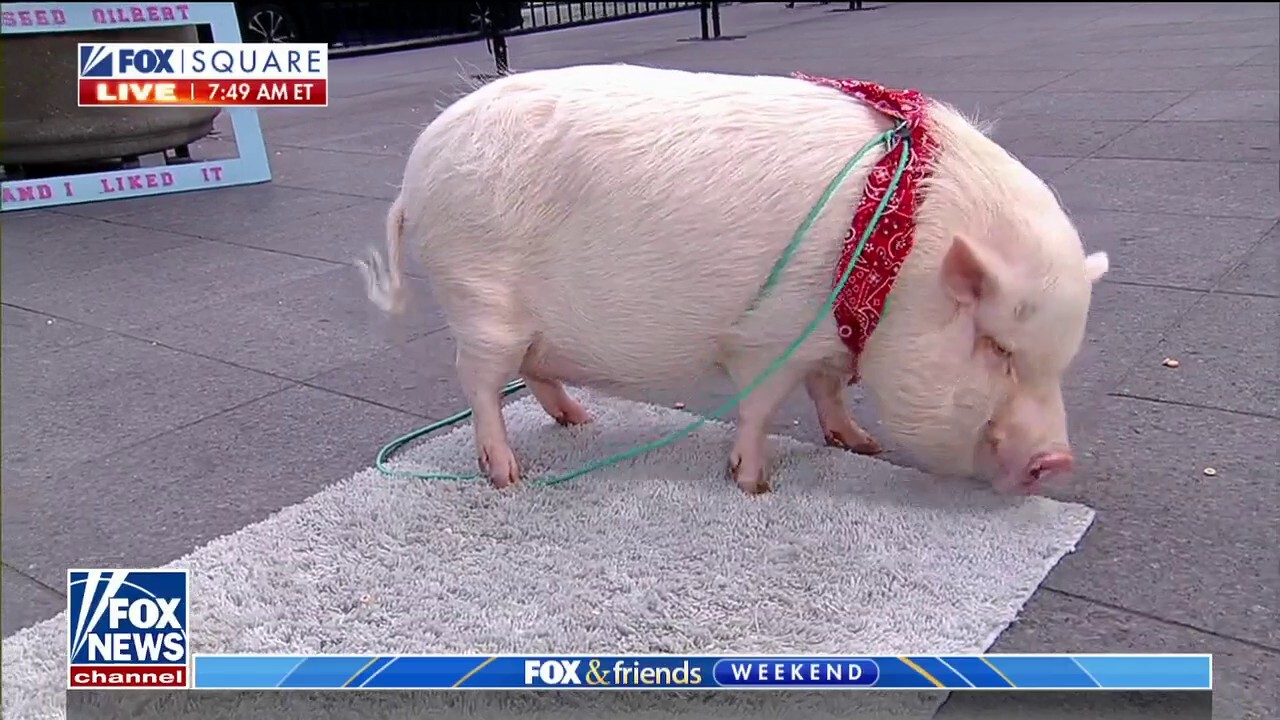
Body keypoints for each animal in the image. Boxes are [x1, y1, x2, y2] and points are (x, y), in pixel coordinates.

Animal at [360, 63, 1111, 491]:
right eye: (998, 347)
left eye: (1060, 361)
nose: (1058, 462)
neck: (892, 264)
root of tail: (412, 180)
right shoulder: (768, 335)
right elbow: (761, 406)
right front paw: (754, 485)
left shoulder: (824, 340)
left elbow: (827, 388)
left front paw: (860, 443)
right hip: (480, 299)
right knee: (479, 383)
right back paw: (508, 476)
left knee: (534, 371)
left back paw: (580, 419)